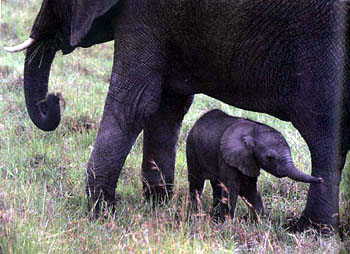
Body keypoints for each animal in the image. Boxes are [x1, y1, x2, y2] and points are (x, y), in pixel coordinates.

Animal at [186, 109, 322, 220]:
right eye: (269, 157)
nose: (321, 179)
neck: (253, 132)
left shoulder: (248, 160)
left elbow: (249, 188)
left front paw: (258, 221)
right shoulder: (225, 155)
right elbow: (232, 187)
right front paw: (228, 222)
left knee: (216, 184)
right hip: (192, 149)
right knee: (196, 183)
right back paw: (194, 214)